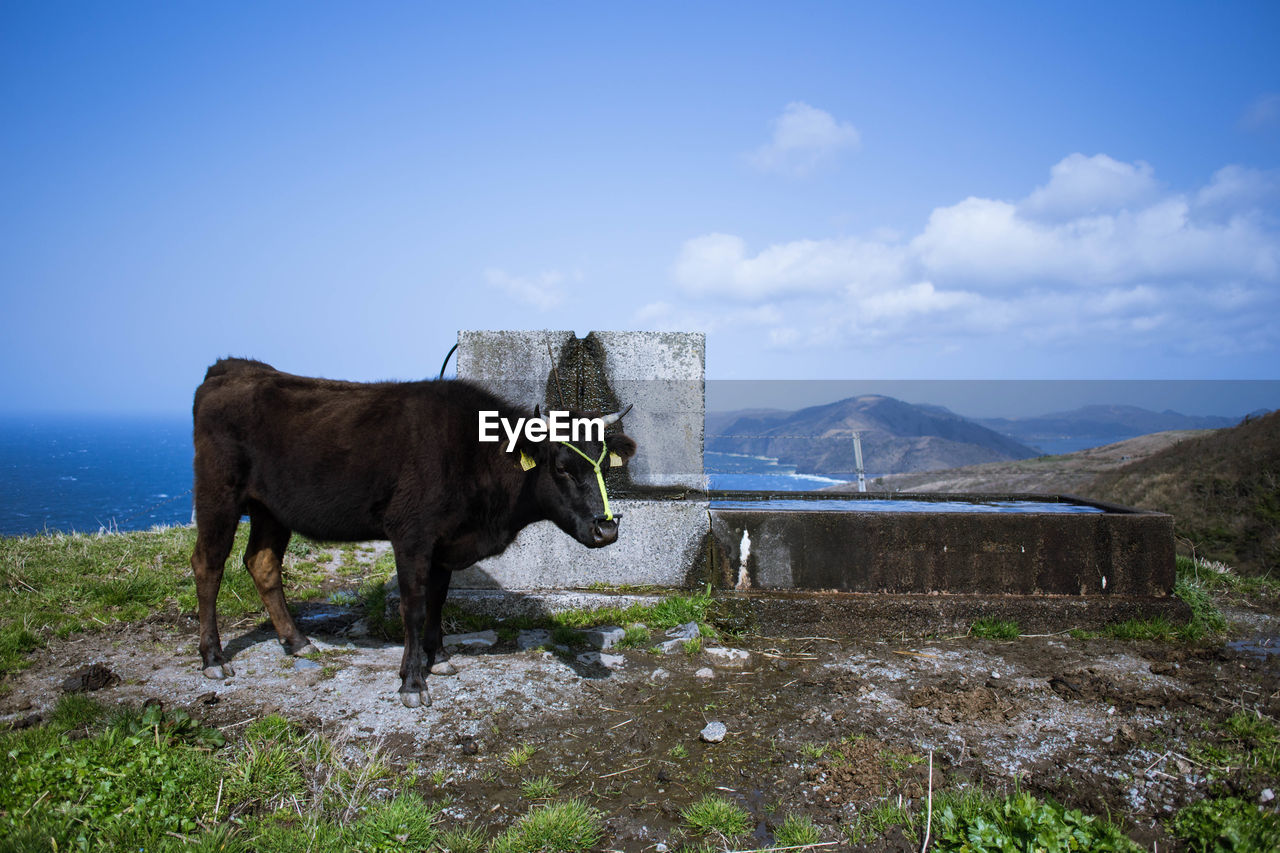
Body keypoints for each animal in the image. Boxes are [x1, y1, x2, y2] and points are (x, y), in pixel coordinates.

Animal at [186, 356, 637, 701]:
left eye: (605, 463)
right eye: (562, 467)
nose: (606, 530)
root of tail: (231, 367)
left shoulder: (446, 543)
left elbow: (438, 600)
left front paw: (439, 660)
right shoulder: (411, 535)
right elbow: (414, 606)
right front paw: (412, 682)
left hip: (271, 509)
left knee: (262, 563)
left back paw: (296, 641)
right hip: (217, 493)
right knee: (208, 565)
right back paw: (213, 659)